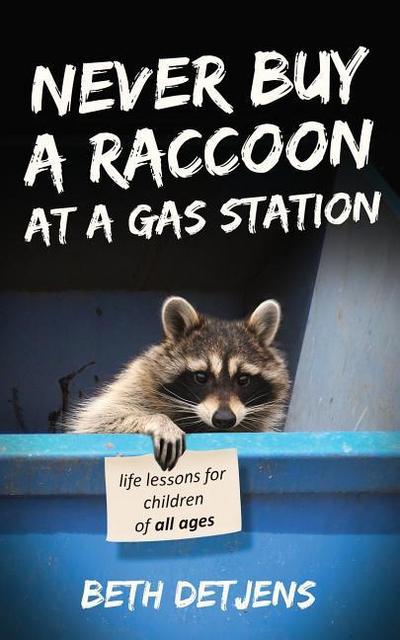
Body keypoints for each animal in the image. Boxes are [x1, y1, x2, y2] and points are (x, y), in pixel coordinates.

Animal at [67, 297, 290, 470]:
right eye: (201, 377)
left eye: (243, 379)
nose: (224, 419)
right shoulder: (135, 383)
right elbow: (99, 421)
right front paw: (159, 420)